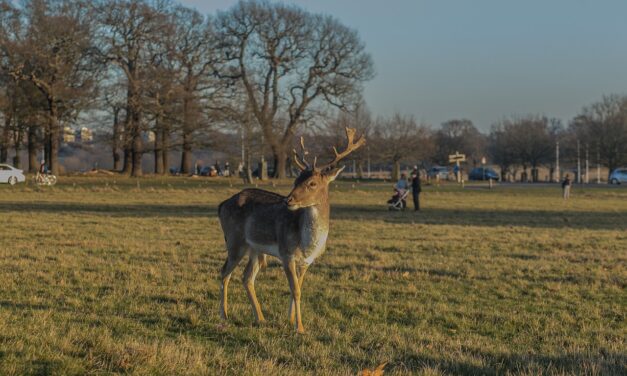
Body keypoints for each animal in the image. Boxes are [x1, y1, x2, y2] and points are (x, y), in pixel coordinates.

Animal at [218, 128, 366, 334]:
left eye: (312, 183)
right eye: (296, 180)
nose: (288, 200)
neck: (307, 244)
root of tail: (221, 205)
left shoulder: (307, 261)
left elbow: (298, 288)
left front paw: (289, 320)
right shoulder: (286, 253)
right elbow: (295, 289)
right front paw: (300, 328)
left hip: (255, 248)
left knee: (246, 277)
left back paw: (260, 318)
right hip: (234, 240)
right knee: (224, 272)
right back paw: (224, 316)